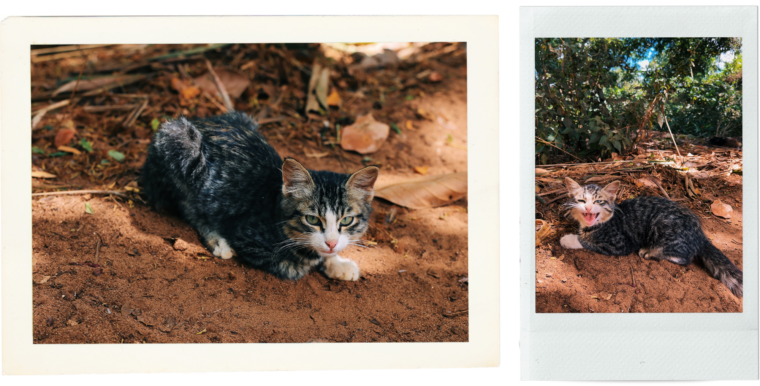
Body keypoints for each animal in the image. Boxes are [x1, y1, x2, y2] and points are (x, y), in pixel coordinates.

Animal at [139, 111, 378, 280]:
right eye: (312, 219)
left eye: (346, 220)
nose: (331, 243)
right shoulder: (247, 236)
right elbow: (294, 265)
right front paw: (318, 260)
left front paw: (336, 262)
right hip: (181, 142)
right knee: (186, 206)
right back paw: (218, 241)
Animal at [560, 176, 744, 298]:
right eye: (582, 200)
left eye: (599, 202)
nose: (589, 208)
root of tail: (700, 234)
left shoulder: (620, 244)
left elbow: (587, 241)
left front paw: (568, 239)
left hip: (662, 223)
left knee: (684, 258)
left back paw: (650, 252)